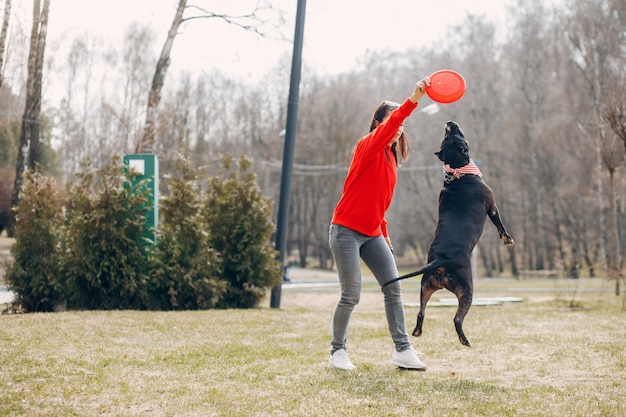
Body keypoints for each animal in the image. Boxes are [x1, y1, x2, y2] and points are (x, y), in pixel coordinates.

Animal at [386, 119, 512, 344]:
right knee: (457, 319)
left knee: (421, 312)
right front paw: (508, 239)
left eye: (447, 138)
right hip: (467, 290)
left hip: (425, 286)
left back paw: (418, 331)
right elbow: (500, 226)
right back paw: (464, 340)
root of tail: (441, 261)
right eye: (454, 137)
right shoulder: (492, 206)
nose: (450, 123)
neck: (457, 171)